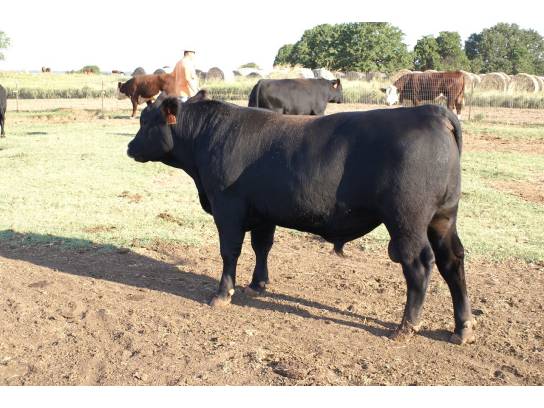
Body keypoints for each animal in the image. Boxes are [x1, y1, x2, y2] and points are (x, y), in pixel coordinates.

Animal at [126, 90, 475, 345]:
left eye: (146, 121)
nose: (129, 148)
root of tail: (431, 111)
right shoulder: (263, 212)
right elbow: (262, 247)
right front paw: (259, 284)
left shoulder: (227, 207)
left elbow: (230, 252)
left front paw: (223, 293)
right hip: (443, 218)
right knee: (453, 261)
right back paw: (462, 328)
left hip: (407, 221)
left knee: (419, 265)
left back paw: (406, 327)